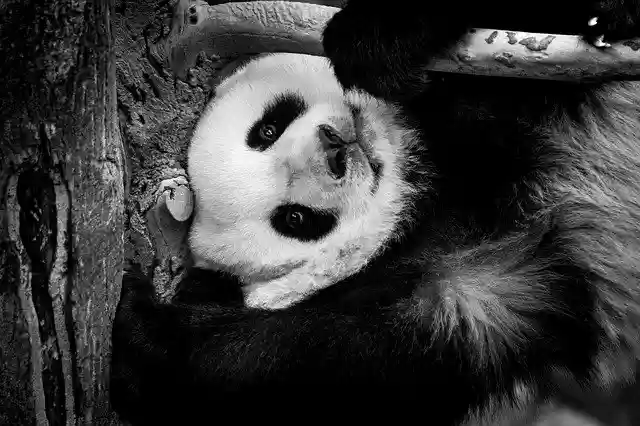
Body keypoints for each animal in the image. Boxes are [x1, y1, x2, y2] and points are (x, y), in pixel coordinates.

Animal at [110, 1, 640, 425]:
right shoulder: (471, 291)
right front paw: (144, 335)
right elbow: (326, 355)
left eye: (267, 129)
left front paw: (374, 39)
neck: (428, 189)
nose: (335, 149)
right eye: (295, 220)